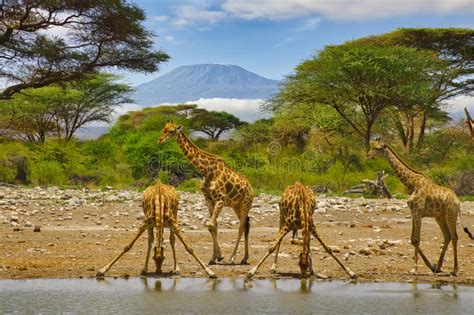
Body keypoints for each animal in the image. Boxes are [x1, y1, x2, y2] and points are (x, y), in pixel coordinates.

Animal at [159, 122, 254, 266]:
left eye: (171, 131)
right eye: (163, 129)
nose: (160, 140)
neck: (206, 169)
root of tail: (251, 188)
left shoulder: (220, 199)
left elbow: (210, 224)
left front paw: (221, 256)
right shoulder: (208, 199)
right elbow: (213, 226)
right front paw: (215, 257)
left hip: (245, 203)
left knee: (242, 226)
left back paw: (233, 258)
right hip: (236, 205)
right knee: (247, 223)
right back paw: (244, 258)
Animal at [368, 139, 472, 276]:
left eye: (378, 148)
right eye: (372, 146)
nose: (368, 155)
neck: (411, 184)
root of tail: (458, 201)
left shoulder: (418, 212)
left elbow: (417, 239)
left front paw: (415, 268)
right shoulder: (414, 212)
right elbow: (413, 239)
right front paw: (430, 266)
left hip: (451, 214)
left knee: (454, 237)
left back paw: (454, 270)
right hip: (440, 217)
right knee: (447, 236)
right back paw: (438, 267)